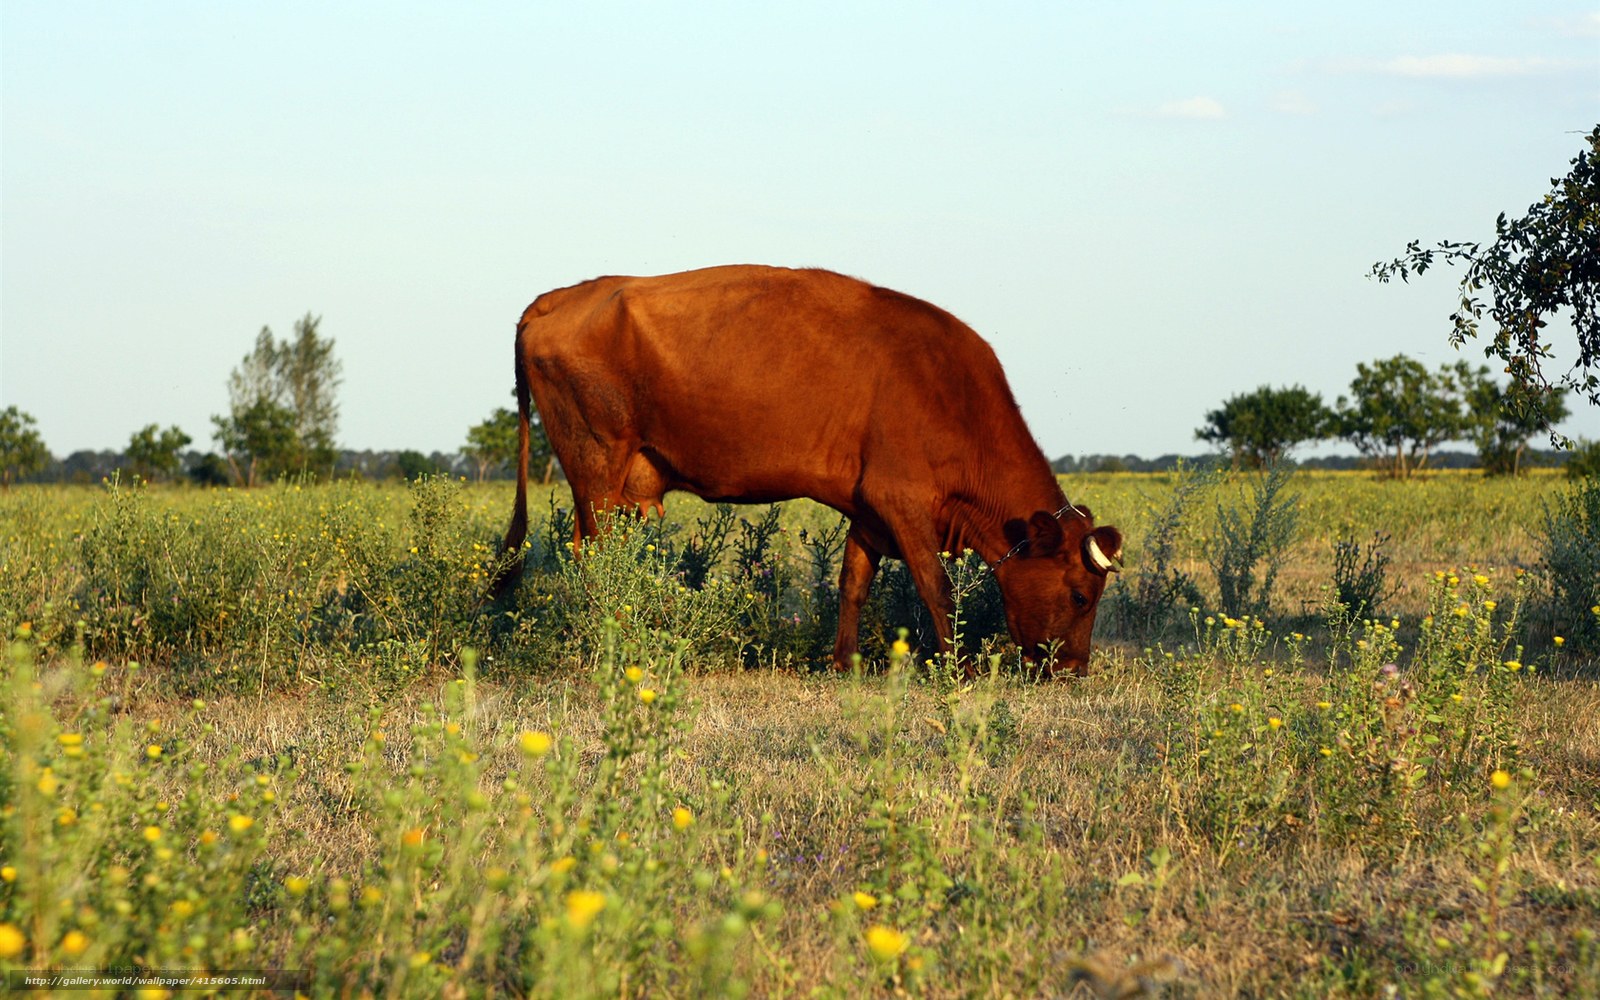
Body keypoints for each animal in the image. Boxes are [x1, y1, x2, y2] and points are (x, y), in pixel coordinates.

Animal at [493, 265, 1122, 677]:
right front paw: (958, 669)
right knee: (596, 562)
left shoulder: (869, 510)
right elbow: (937, 587)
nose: (1074, 669)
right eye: (1080, 596)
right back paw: (618, 646)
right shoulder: (903, 501)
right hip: (597, 469)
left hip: (612, 489)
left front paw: (844, 664)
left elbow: (852, 585)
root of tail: (558, 296)